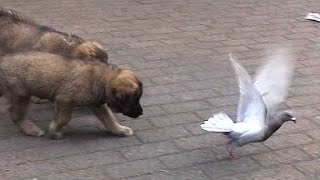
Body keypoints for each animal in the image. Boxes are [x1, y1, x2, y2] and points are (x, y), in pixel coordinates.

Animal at [0, 50, 142, 139]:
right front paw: (55, 131)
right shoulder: (64, 100)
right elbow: (64, 118)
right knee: (16, 114)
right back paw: (31, 129)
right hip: (21, 93)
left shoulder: (97, 104)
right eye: (134, 99)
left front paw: (120, 130)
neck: (102, 79)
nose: (141, 113)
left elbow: (109, 119)